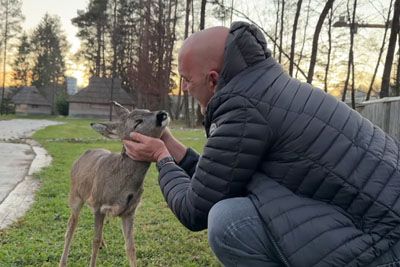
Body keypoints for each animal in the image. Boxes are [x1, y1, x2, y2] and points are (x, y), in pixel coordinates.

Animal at [59, 101, 169, 266]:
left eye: (148, 109)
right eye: (137, 122)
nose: (162, 114)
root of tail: (81, 156)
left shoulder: (129, 211)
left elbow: (130, 246)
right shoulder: (99, 204)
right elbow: (94, 240)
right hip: (75, 196)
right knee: (71, 225)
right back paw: (63, 261)